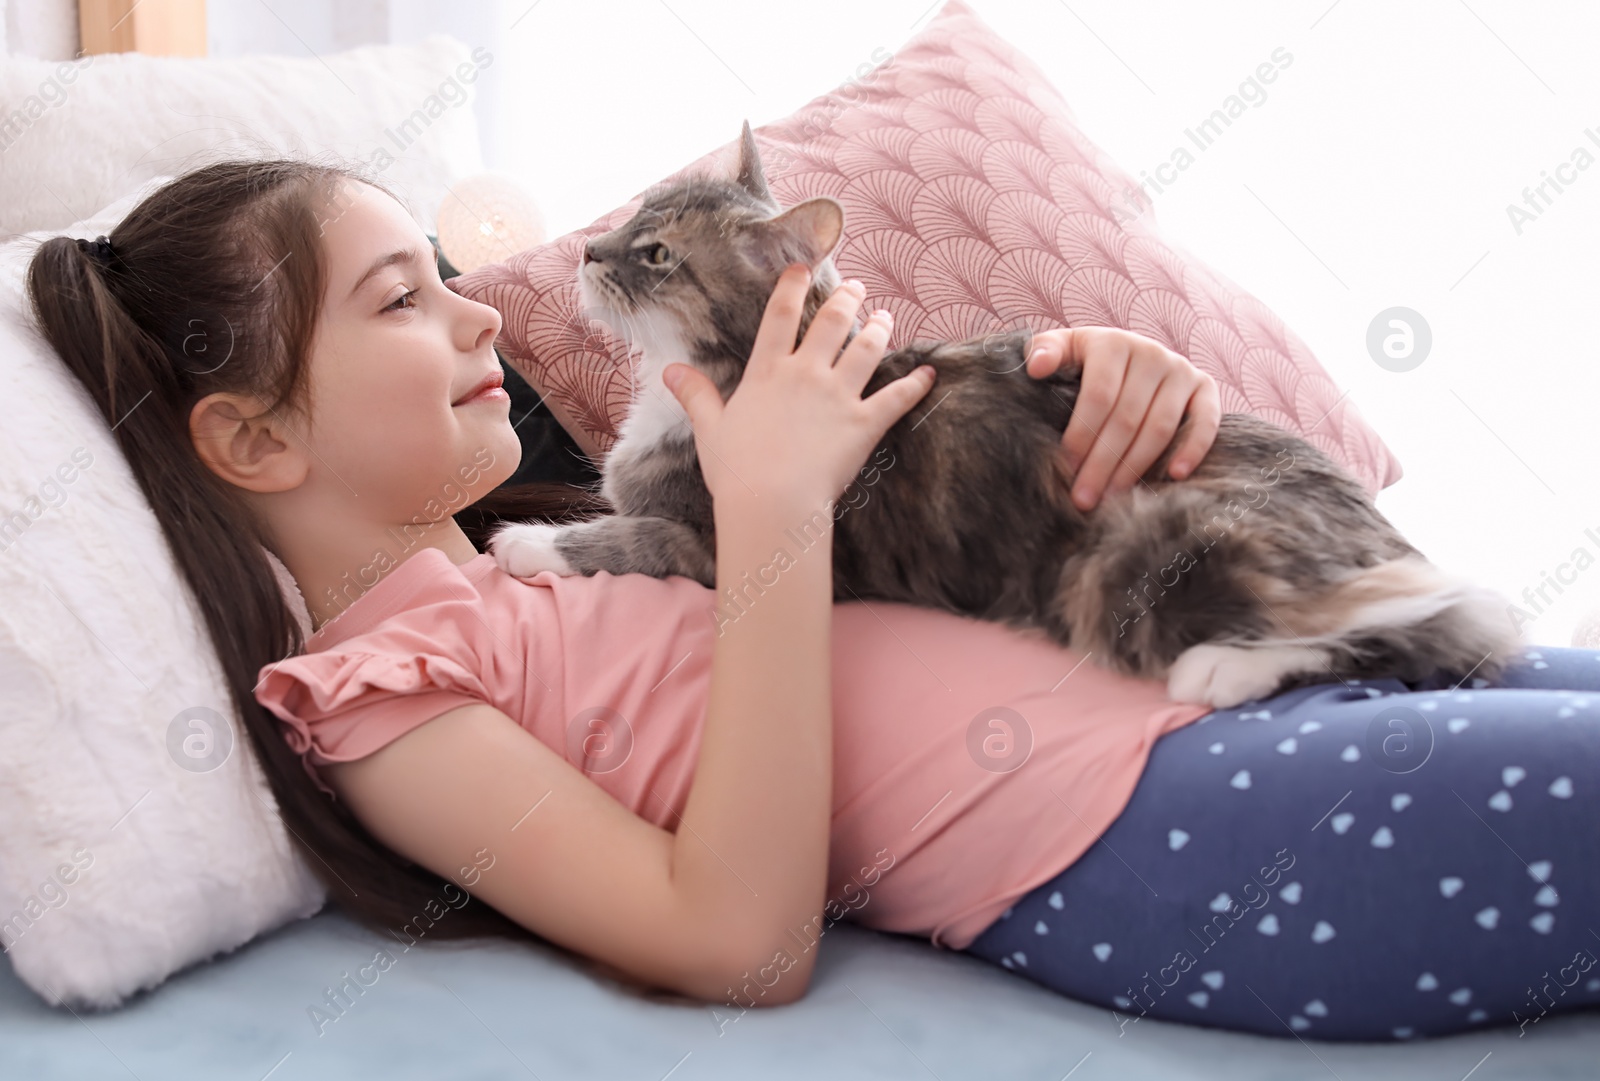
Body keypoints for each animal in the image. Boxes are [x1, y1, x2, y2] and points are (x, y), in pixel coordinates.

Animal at [492, 122, 1516, 710]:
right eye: (636, 216)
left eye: (656, 253)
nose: (590, 251)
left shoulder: (732, 547)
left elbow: (626, 536)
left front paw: (528, 544)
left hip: (1140, 550)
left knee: (1394, 629)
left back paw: (1220, 669)